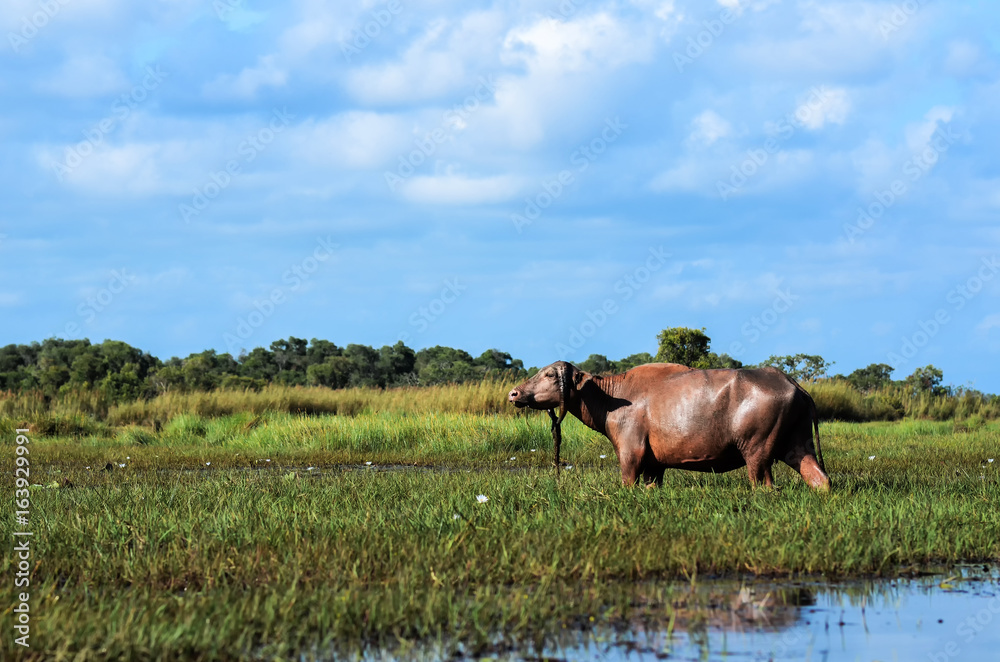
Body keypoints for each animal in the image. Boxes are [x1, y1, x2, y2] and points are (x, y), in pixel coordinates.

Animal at [508, 360, 828, 490]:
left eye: (550, 374)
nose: (514, 393)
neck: (611, 397)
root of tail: (793, 383)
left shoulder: (631, 456)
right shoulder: (654, 466)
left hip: (757, 453)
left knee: (764, 485)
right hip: (797, 446)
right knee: (819, 478)